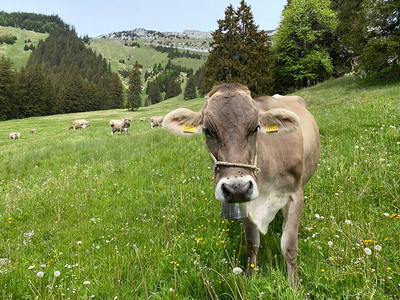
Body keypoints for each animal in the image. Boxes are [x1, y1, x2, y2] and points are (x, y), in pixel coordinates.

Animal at [161, 83, 320, 288]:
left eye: (255, 128)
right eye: (207, 130)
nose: (237, 188)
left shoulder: (295, 195)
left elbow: (289, 246)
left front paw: (294, 285)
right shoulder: (245, 201)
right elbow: (252, 243)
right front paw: (251, 276)